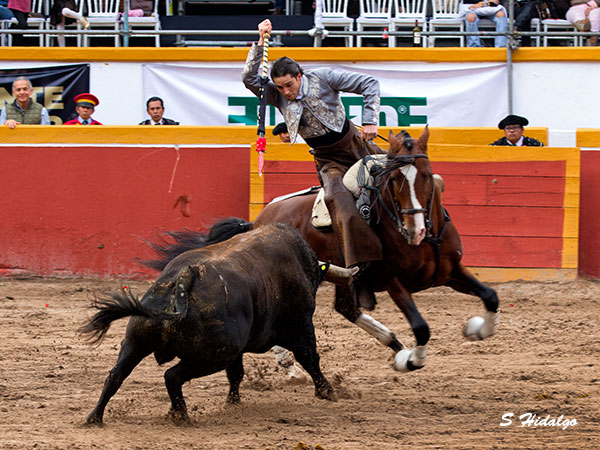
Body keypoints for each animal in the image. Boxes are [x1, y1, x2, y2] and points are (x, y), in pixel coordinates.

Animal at [79, 220, 352, 424]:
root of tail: (183, 277)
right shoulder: (300, 325)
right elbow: (309, 357)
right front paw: (328, 391)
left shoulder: (240, 350)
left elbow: (236, 374)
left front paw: (233, 402)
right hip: (212, 356)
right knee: (172, 376)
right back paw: (181, 416)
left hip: (136, 342)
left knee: (116, 375)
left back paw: (95, 417)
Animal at [251, 127, 500, 372]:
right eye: (395, 179)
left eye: (427, 174)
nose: (416, 231)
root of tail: (263, 216)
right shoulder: (393, 281)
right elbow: (421, 327)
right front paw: (410, 361)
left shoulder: (451, 270)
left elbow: (491, 296)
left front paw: (476, 329)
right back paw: (288, 364)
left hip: (343, 278)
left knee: (347, 309)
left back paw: (395, 343)